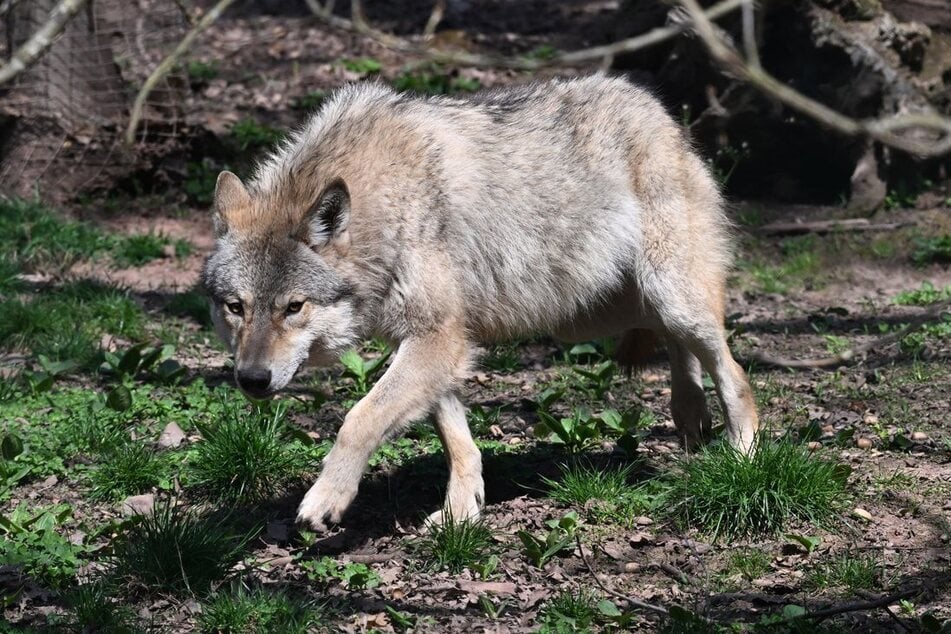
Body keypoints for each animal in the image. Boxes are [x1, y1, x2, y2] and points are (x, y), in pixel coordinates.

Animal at [201, 75, 759, 531]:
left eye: (293, 307)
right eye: (236, 308)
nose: (251, 380)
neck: (385, 207)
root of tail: (659, 110)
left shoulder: (438, 337)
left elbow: (360, 418)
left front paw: (326, 498)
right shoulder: (436, 342)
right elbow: (457, 440)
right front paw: (460, 512)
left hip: (665, 296)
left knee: (733, 370)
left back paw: (743, 457)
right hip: (591, 313)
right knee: (674, 342)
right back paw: (689, 414)